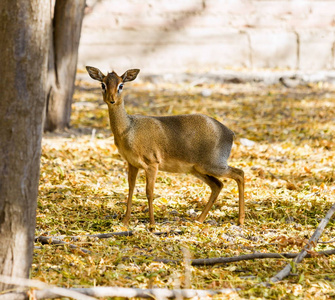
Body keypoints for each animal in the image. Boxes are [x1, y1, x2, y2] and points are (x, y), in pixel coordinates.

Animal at [85, 66, 245, 225]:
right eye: (103, 84)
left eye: (121, 85)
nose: (111, 100)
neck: (129, 130)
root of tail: (230, 133)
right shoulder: (132, 163)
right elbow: (130, 189)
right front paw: (125, 221)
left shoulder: (152, 164)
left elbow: (149, 192)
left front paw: (152, 224)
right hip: (198, 169)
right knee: (218, 185)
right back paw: (199, 220)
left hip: (213, 165)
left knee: (239, 173)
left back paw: (240, 220)